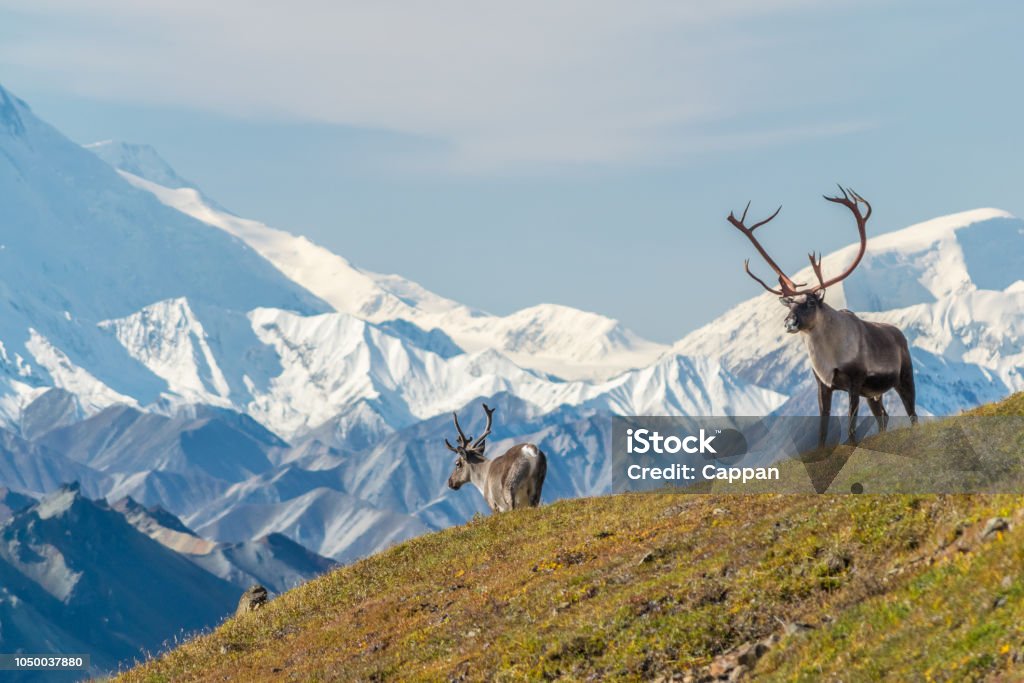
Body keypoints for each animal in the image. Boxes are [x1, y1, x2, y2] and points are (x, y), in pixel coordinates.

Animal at [729, 185, 921, 448]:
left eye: (810, 302)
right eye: (789, 305)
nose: (789, 322)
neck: (828, 357)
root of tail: (899, 334)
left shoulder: (855, 380)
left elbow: (850, 425)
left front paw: (851, 446)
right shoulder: (823, 384)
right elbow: (823, 425)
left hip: (903, 377)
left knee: (912, 414)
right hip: (873, 392)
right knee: (883, 415)